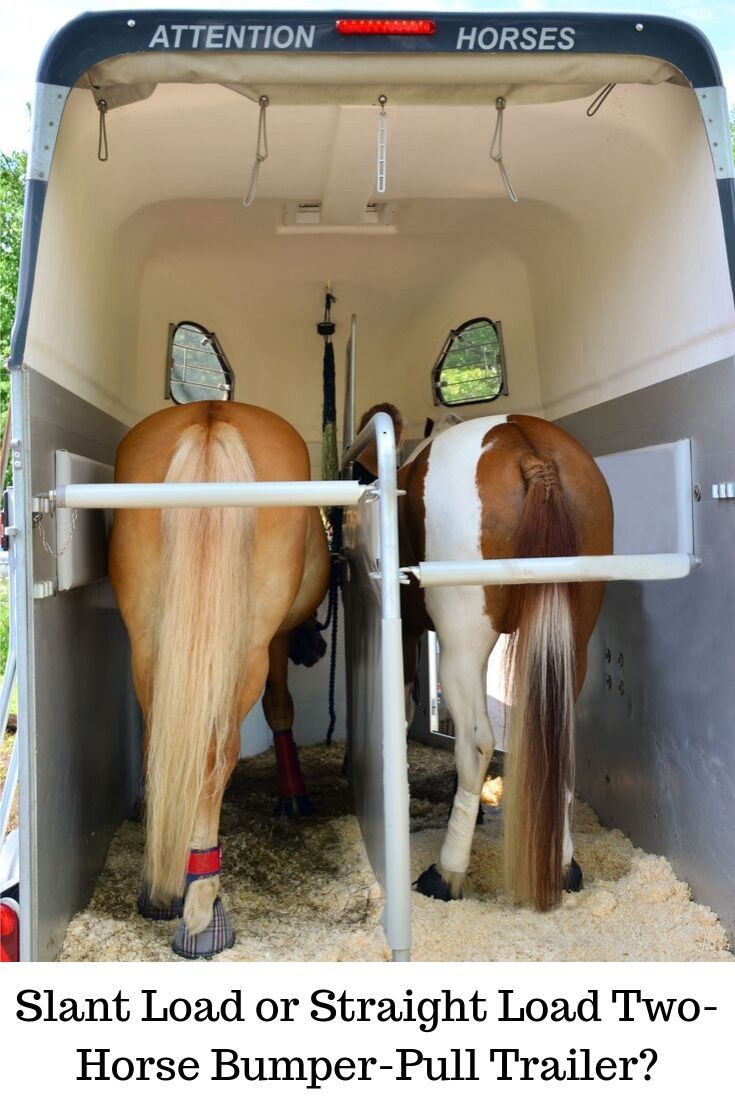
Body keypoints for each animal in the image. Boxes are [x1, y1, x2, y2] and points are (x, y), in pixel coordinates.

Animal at [107, 403, 328, 956]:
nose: (315, 650)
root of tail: (211, 416)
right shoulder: (275, 641)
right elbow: (280, 707)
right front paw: (293, 794)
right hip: (247, 643)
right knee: (213, 751)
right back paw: (203, 906)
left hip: (148, 638)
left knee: (164, 741)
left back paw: (162, 888)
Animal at [359, 405, 612, 912]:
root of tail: (527, 447)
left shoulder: (411, 632)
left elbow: (408, 710)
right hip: (573, 638)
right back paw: (563, 865)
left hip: (463, 644)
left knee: (475, 743)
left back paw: (445, 872)